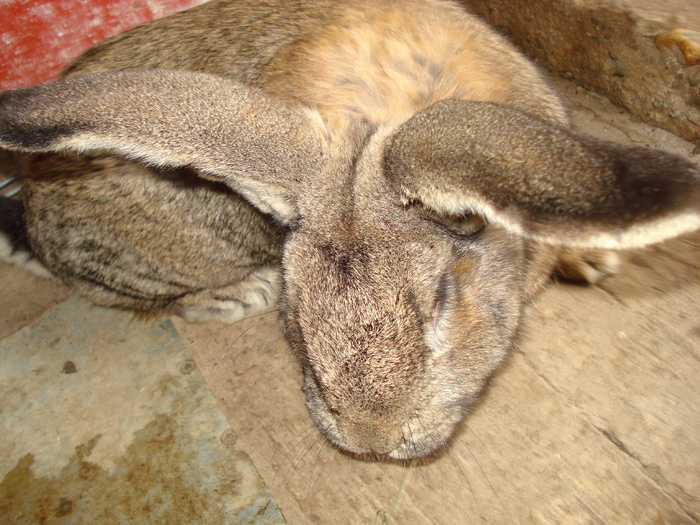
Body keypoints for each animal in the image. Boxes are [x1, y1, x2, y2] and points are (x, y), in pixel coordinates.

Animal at [1, 0, 700, 458]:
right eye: (298, 310)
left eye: (441, 300)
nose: (373, 439)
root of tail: (29, 211)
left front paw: (591, 261)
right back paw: (235, 294)